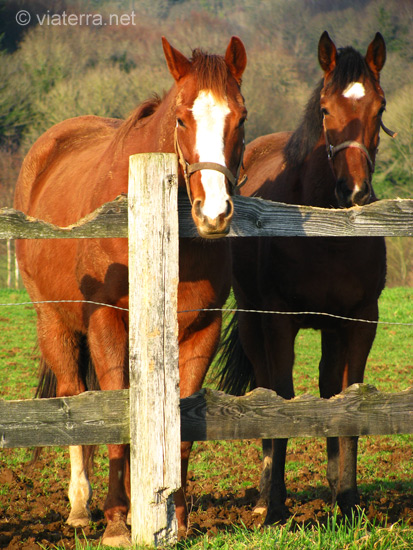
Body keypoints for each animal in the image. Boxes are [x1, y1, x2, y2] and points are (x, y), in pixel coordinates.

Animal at [15, 37, 248, 548]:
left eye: (241, 117)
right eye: (181, 118)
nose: (214, 213)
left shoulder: (203, 329)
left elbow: (182, 430)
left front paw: (176, 519)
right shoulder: (106, 321)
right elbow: (116, 414)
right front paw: (119, 520)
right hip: (54, 322)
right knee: (74, 395)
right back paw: (80, 506)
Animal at [219, 32, 386, 528]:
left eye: (380, 108)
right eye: (326, 110)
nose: (354, 191)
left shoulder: (359, 320)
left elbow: (348, 400)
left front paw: (347, 499)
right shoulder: (277, 320)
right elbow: (283, 399)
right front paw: (274, 503)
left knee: (329, 389)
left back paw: (333, 487)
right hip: (253, 322)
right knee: (266, 390)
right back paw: (263, 496)